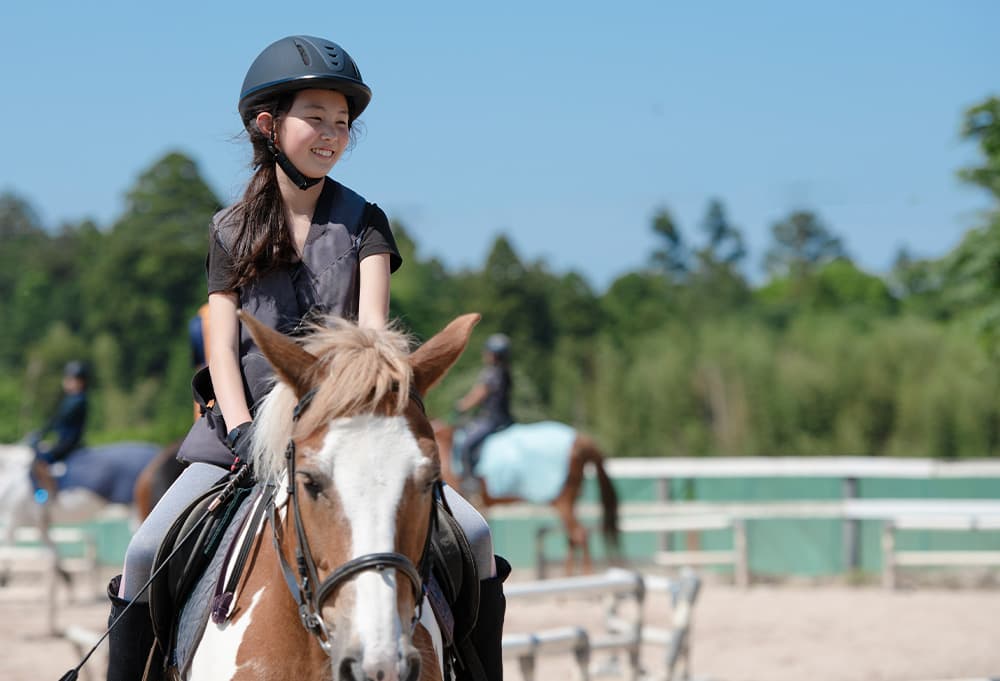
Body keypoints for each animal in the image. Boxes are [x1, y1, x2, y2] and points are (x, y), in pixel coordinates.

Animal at [433, 420, 620, 576]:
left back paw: (586, 576)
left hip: (562, 500)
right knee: (572, 537)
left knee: (579, 534)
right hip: (569, 500)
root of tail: (579, 439)